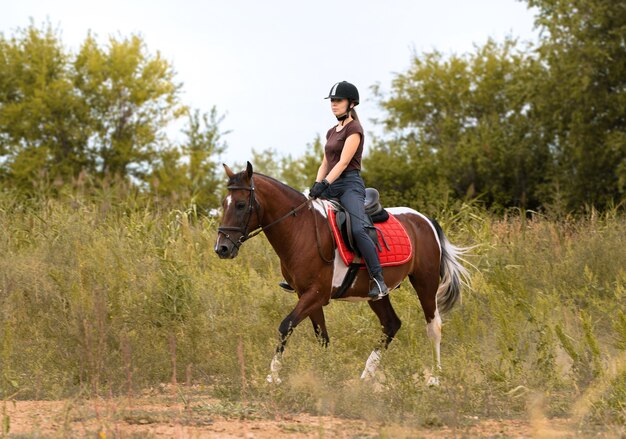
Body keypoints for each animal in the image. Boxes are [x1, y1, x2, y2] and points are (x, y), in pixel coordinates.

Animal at [214, 163, 468, 386]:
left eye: (240, 205)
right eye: (224, 204)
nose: (222, 248)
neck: (301, 230)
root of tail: (425, 220)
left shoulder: (316, 294)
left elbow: (286, 326)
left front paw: (273, 376)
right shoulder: (307, 296)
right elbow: (322, 336)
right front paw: (326, 373)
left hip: (425, 282)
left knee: (433, 326)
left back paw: (434, 379)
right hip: (376, 294)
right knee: (391, 324)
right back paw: (366, 375)